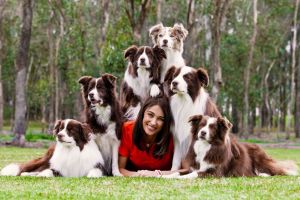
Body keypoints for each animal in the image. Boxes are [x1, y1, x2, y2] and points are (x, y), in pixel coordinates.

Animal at [164, 115, 298, 179]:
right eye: (201, 125)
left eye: (212, 127)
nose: (202, 133)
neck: (206, 146)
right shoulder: (193, 167)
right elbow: (178, 172)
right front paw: (166, 176)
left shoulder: (215, 172)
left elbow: (191, 175)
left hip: (261, 160)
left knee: (278, 170)